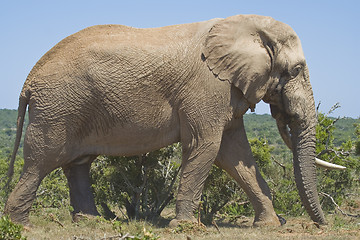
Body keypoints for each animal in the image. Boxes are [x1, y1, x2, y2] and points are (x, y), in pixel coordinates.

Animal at [4, 14, 340, 226]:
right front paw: (186, 227)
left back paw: (88, 223)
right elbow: (207, 146)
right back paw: (21, 225)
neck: (247, 25)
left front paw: (269, 225)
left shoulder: (226, 89)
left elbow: (236, 155)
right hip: (57, 108)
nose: (322, 226)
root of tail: (29, 79)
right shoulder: (206, 86)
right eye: (295, 70)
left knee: (78, 164)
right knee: (41, 161)